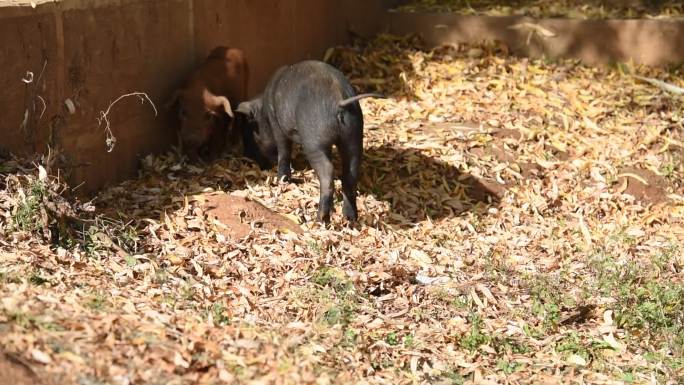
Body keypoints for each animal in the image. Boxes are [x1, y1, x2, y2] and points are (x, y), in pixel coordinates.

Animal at [238, 60, 382, 222]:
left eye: (251, 134)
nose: (246, 158)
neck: (265, 110)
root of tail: (338, 100)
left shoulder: (277, 126)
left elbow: (284, 151)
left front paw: (282, 180)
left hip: (314, 141)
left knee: (327, 173)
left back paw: (320, 219)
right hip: (354, 135)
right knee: (350, 174)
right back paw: (350, 218)